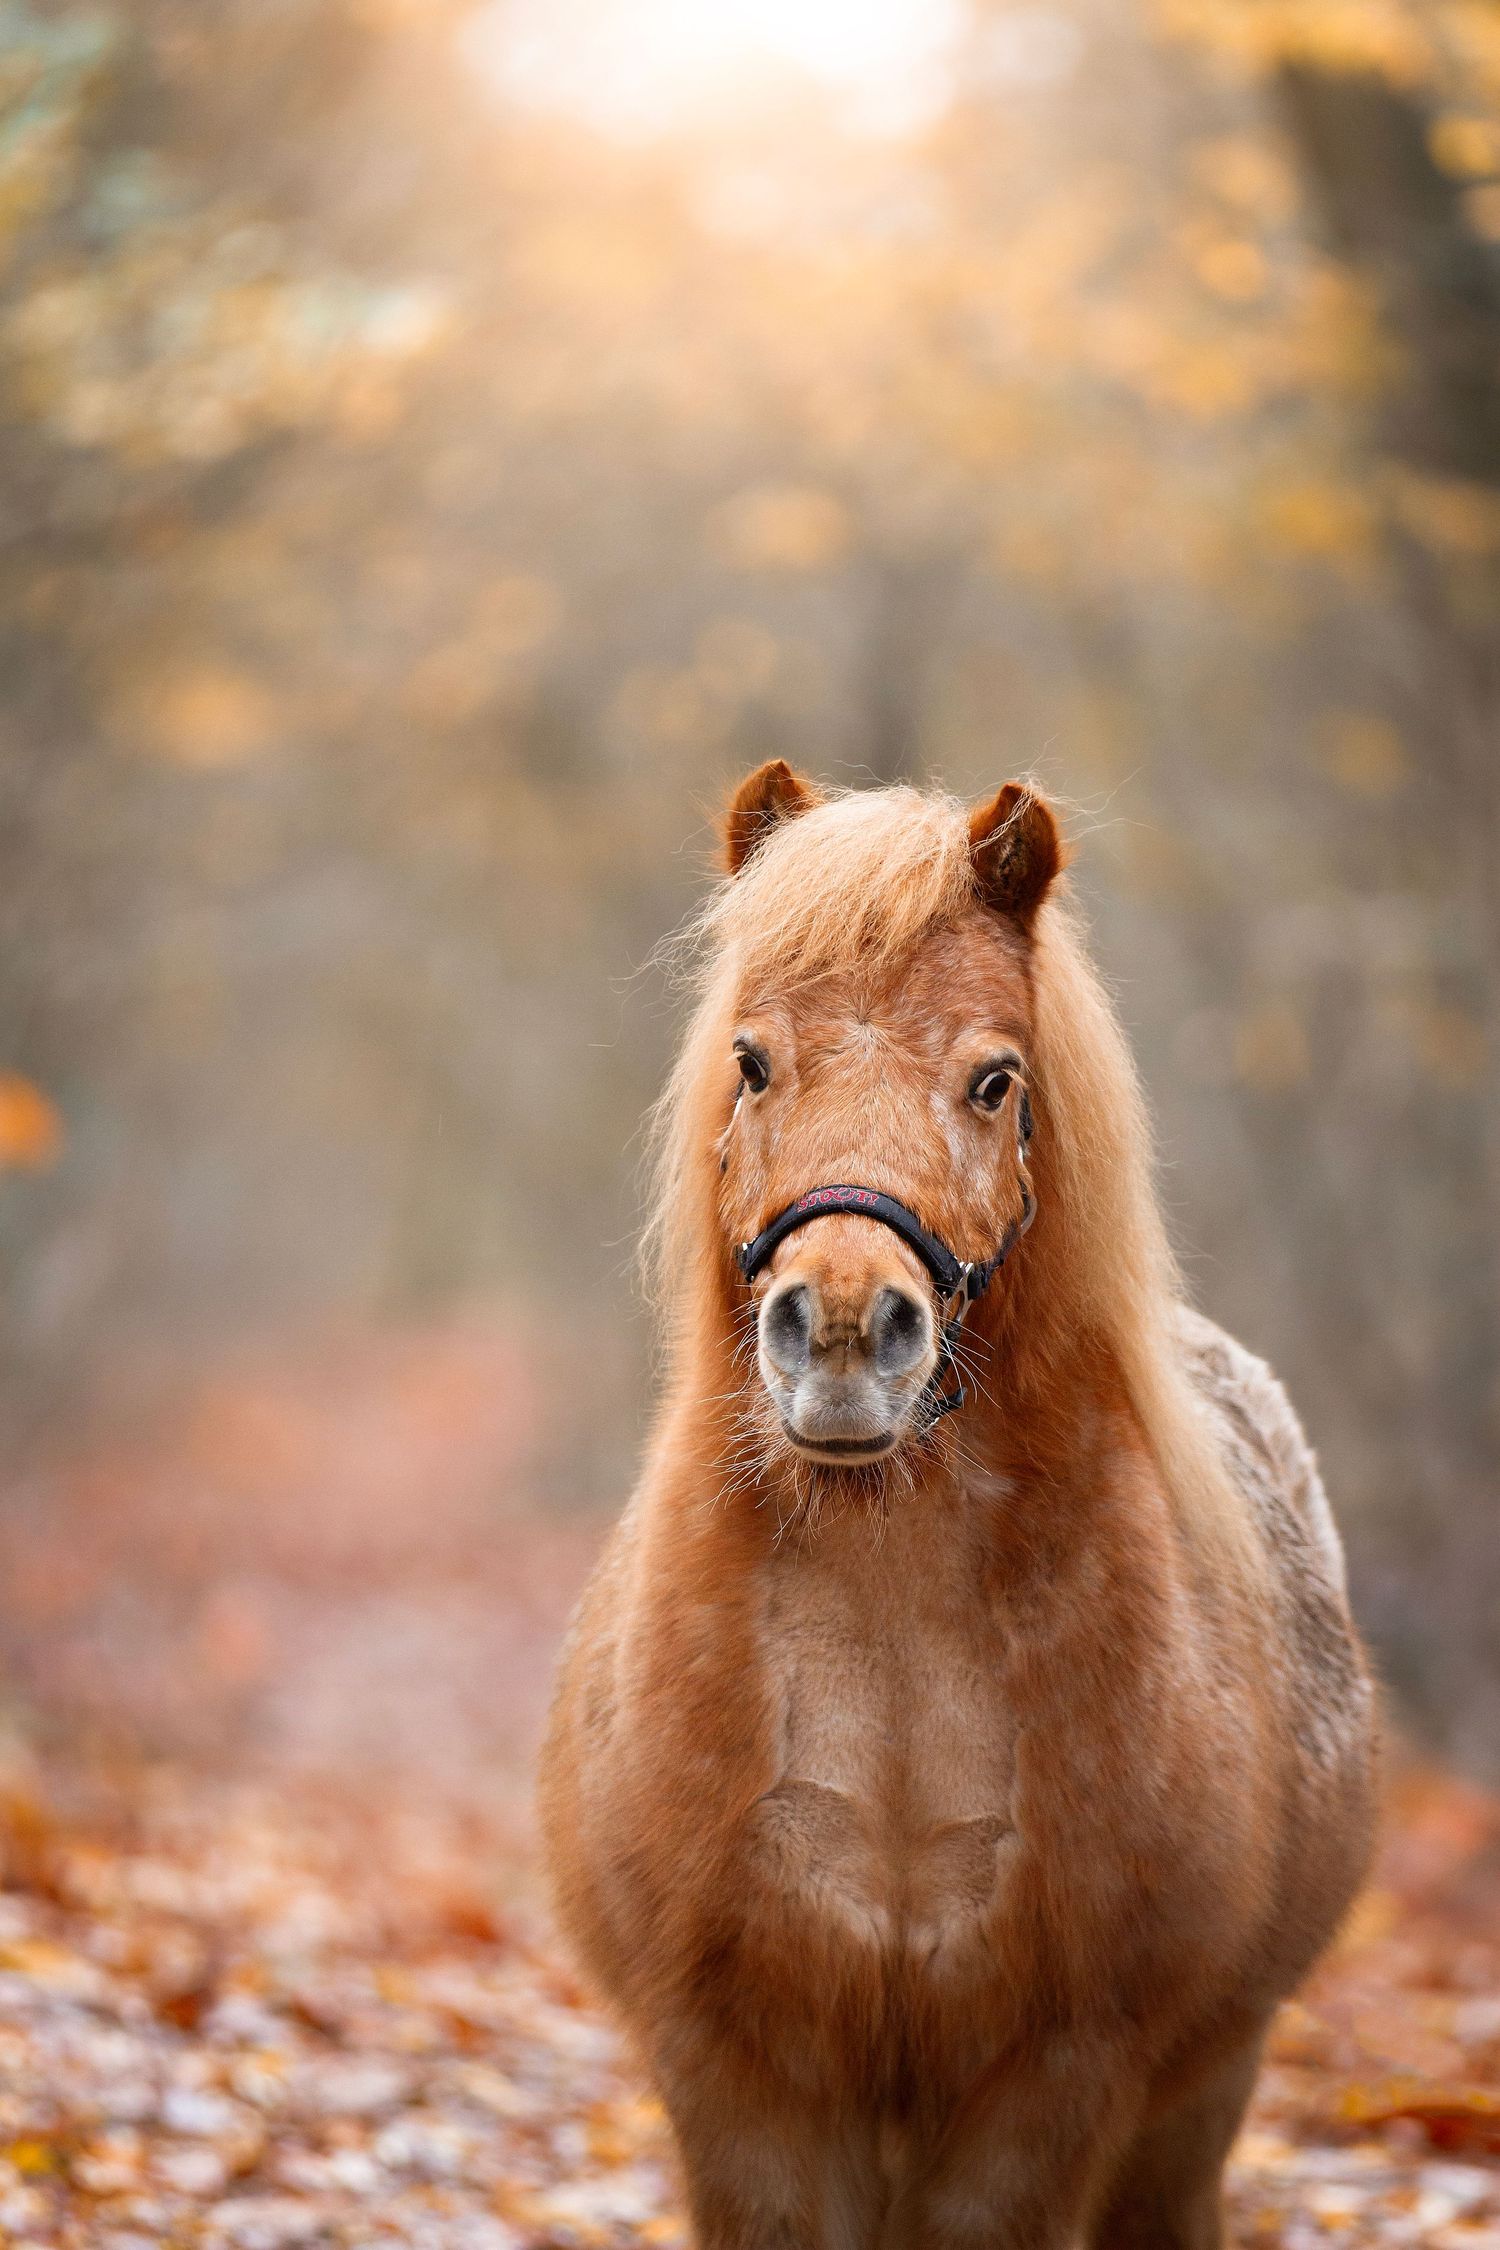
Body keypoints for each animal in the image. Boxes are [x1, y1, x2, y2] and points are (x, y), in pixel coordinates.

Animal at [539, 765, 1377, 2250]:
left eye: (996, 1079)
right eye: (751, 1059)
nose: (843, 1332)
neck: (892, 1631)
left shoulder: (1050, 2085)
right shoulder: (744, 2086)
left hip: (1197, 2104)